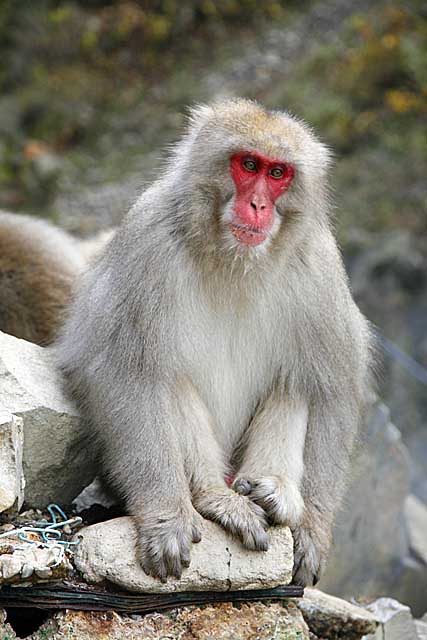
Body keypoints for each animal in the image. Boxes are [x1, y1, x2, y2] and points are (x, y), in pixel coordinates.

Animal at [56, 99, 372, 584]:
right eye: (248, 165)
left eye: (278, 173)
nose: (258, 204)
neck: (232, 260)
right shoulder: (147, 243)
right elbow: (126, 372)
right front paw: (165, 516)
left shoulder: (320, 268)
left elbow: (332, 387)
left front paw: (312, 531)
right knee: (168, 378)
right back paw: (212, 497)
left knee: (295, 381)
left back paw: (272, 493)